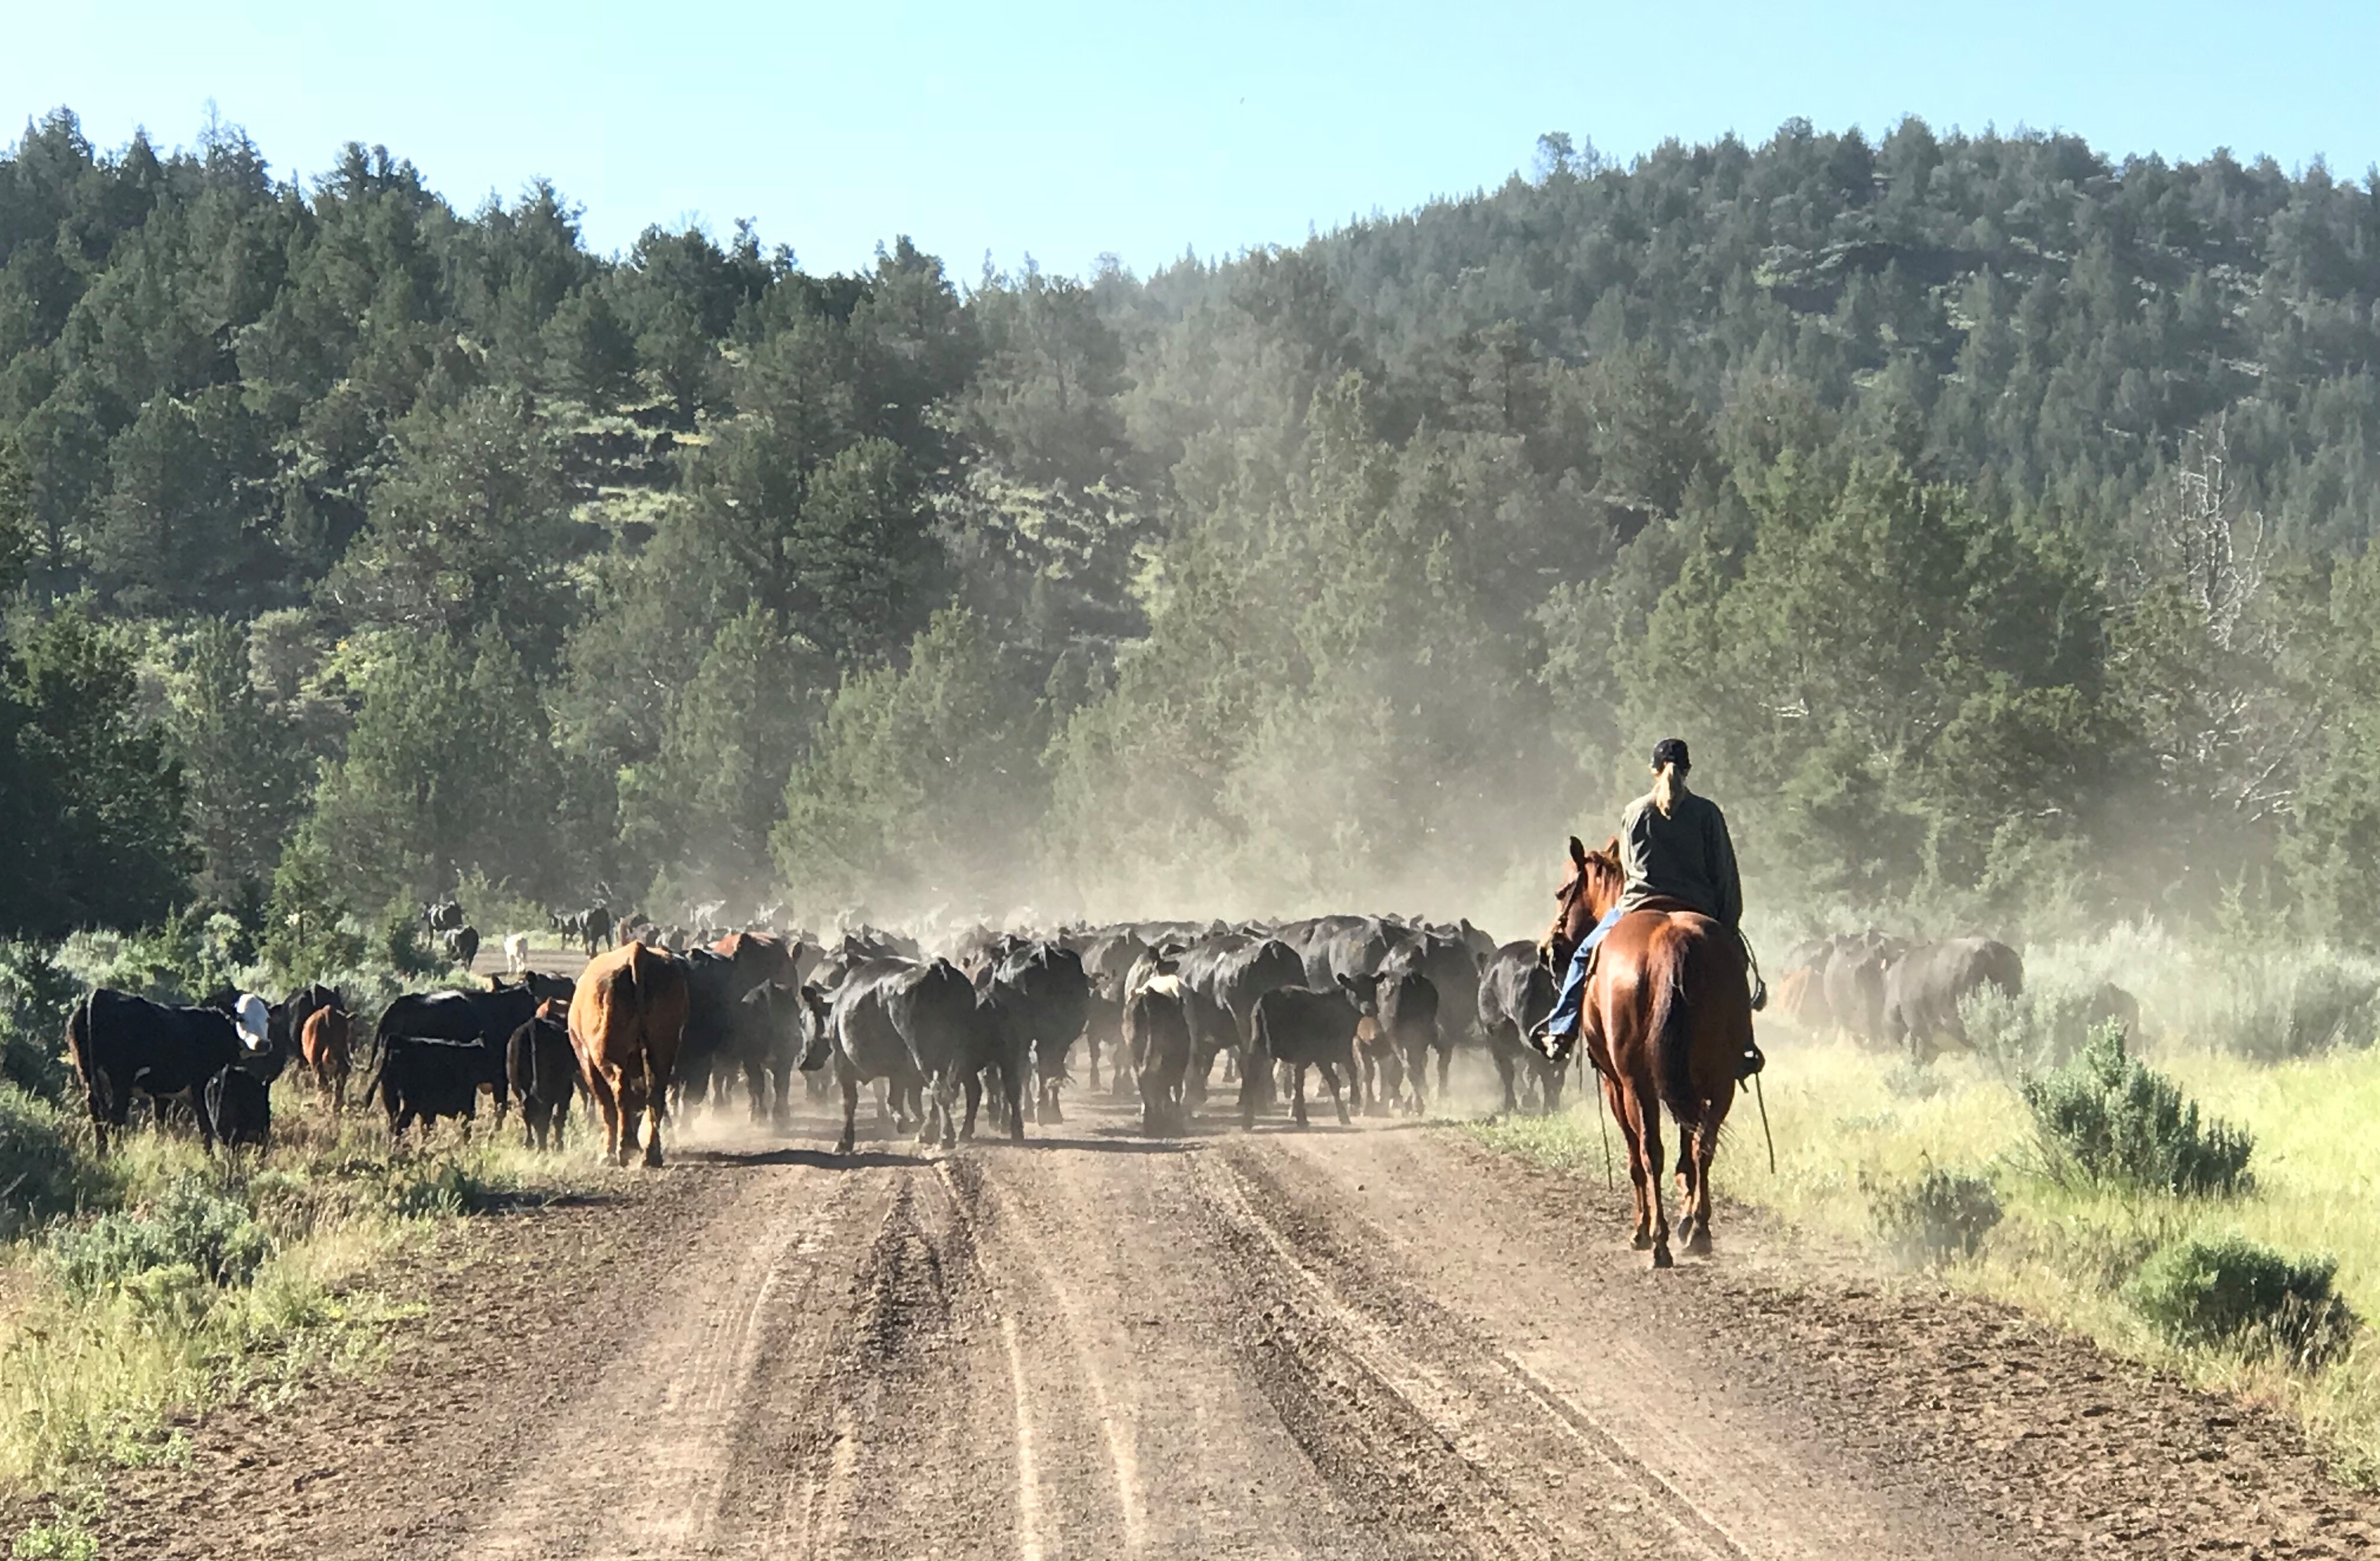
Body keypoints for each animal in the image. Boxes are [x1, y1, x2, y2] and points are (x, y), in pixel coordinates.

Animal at [67, 994, 273, 1151]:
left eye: (267, 1020)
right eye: (241, 1019)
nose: (263, 1044)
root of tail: (101, 994)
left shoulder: (161, 1093)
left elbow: (160, 1125)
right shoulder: (200, 1085)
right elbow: (205, 1128)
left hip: (88, 1077)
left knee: (96, 1116)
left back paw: (102, 1155)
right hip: (120, 1080)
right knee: (116, 1119)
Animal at [1542, 837, 1751, 1266]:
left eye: (1562, 891)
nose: (1547, 950)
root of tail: (1672, 940)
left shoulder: (1615, 1084)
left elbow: (1636, 1157)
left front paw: (1641, 1229)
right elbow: (1689, 1148)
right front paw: (1688, 1217)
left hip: (1636, 1082)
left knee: (1650, 1151)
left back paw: (1657, 1239)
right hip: (1720, 1080)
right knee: (1704, 1145)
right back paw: (1699, 1231)